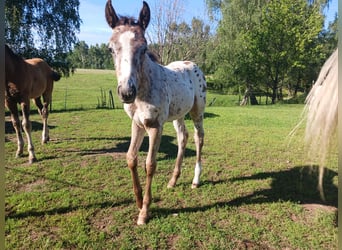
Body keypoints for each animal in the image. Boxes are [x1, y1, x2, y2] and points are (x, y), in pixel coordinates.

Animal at [105, 0, 206, 226]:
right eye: (110, 49)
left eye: (144, 48)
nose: (126, 92)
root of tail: (191, 64)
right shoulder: (137, 124)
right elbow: (131, 158)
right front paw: (138, 201)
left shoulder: (155, 126)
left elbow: (150, 164)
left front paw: (144, 212)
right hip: (178, 115)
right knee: (183, 137)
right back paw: (173, 180)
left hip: (197, 111)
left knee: (199, 137)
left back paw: (196, 180)